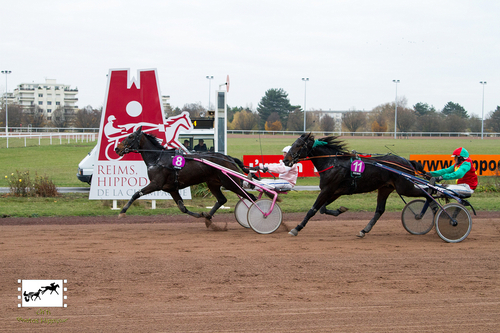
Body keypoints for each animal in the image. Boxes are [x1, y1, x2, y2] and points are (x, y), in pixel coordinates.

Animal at [115, 126, 256, 224]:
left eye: (131, 136)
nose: (117, 148)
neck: (158, 159)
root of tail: (229, 158)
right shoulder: (171, 188)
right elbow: (182, 207)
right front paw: (200, 215)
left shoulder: (156, 184)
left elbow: (136, 194)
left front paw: (122, 211)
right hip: (213, 183)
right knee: (222, 199)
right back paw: (208, 216)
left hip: (230, 183)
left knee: (251, 197)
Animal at [284, 132, 424, 236]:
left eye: (298, 145)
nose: (285, 160)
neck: (333, 163)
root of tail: (408, 162)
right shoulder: (335, 192)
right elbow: (323, 209)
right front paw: (340, 210)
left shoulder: (328, 189)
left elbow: (312, 210)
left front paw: (296, 228)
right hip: (385, 188)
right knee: (379, 210)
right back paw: (364, 230)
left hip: (405, 188)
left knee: (426, 193)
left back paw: (424, 211)